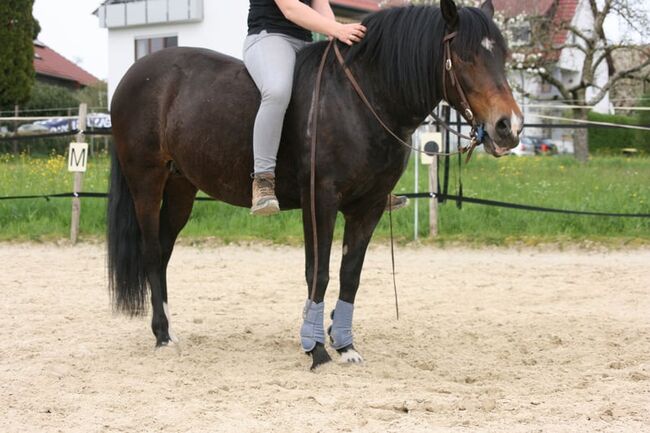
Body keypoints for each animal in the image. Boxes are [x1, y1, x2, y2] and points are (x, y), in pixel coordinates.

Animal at [106, 0, 520, 368]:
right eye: (465, 57)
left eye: (502, 56)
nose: (509, 127)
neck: (361, 97)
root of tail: (134, 75)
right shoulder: (320, 201)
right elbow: (317, 271)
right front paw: (316, 347)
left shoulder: (368, 207)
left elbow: (350, 273)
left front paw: (346, 345)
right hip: (147, 182)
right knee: (150, 251)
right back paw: (162, 335)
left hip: (181, 188)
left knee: (163, 251)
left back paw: (167, 330)